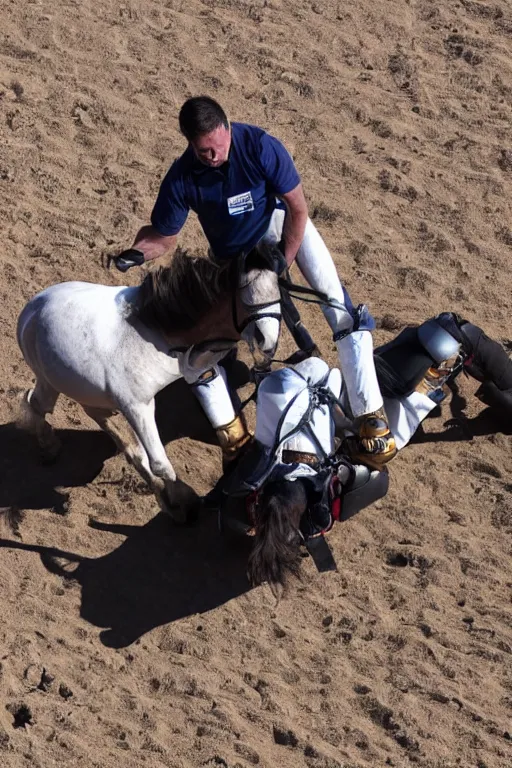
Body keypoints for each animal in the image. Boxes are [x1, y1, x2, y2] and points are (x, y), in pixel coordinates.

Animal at [16, 245, 282, 521]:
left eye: (278, 290)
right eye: (245, 293)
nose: (267, 339)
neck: (158, 333)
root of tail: (30, 310)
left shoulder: (200, 370)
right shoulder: (137, 407)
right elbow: (160, 464)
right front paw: (181, 503)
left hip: (89, 398)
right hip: (53, 383)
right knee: (36, 404)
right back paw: (49, 446)